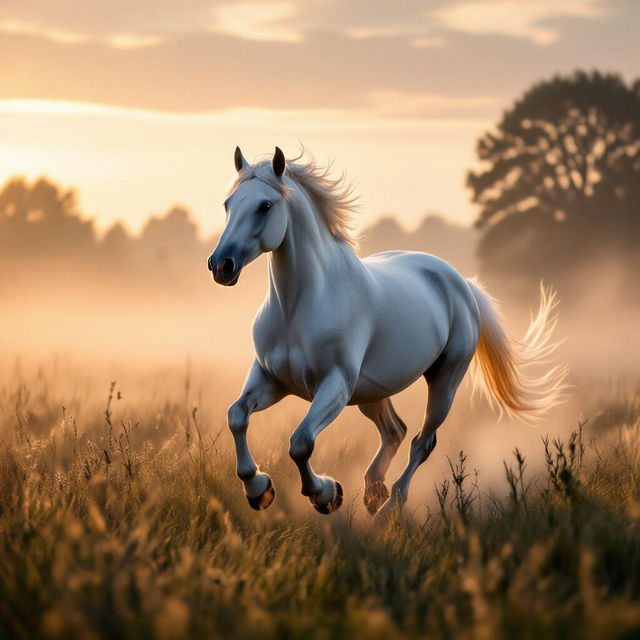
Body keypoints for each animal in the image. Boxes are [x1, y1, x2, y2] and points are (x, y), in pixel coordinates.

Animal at [207, 146, 567, 518]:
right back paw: (372, 492)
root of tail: (461, 283)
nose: (221, 265)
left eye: (265, 205)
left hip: (444, 381)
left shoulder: (334, 385)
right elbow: (237, 417)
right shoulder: (271, 379)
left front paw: (326, 494)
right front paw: (258, 490)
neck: (299, 306)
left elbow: (301, 443)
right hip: (371, 392)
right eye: (228, 203)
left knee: (422, 441)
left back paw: (388, 507)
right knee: (395, 430)